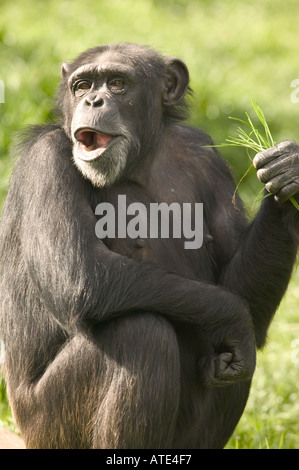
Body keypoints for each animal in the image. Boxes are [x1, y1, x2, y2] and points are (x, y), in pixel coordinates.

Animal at [0, 42, 299, 450]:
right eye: (82, 85)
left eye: (117, 83)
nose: (93, 100)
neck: (140, 161)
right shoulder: (45, 163)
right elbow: (80, 276)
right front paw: (232, 315)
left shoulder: (208, 157)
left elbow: (245, 298)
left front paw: (287, 171)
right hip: (48, 428)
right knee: (142, 334)